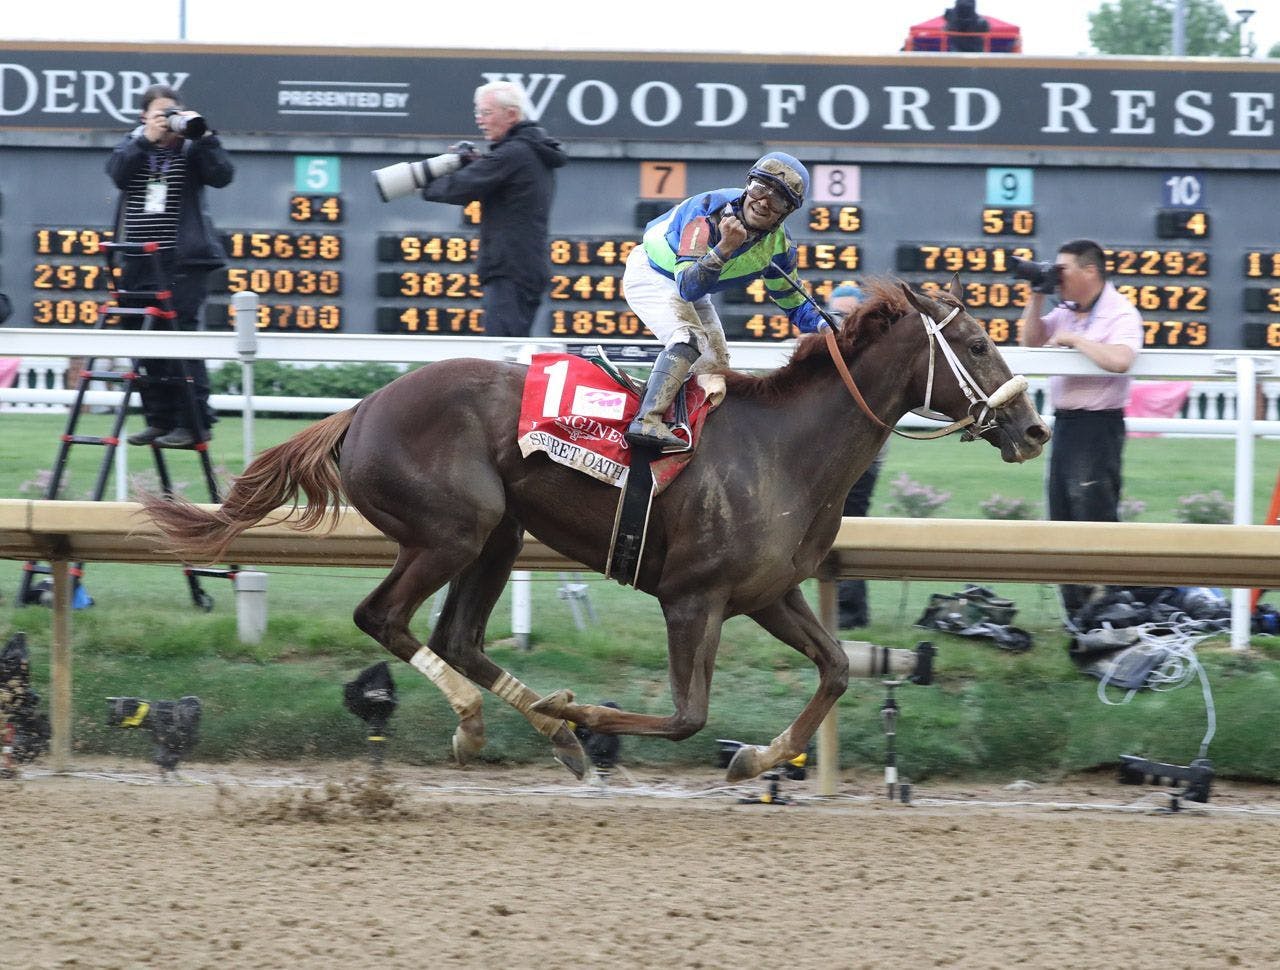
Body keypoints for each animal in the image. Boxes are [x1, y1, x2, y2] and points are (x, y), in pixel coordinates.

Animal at [147, 278, 1049, 783]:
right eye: (976, 342)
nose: (1032, 428)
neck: (784, 448)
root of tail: (360, 409)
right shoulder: (693, 599)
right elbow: (687, 716)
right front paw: (585, 713)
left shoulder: (767, 593)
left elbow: (832, 670)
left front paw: (757, 758)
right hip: (453, 530)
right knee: (385, 618)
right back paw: (482, 722)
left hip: (500, 534)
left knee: (456, 635)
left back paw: (546, 728)